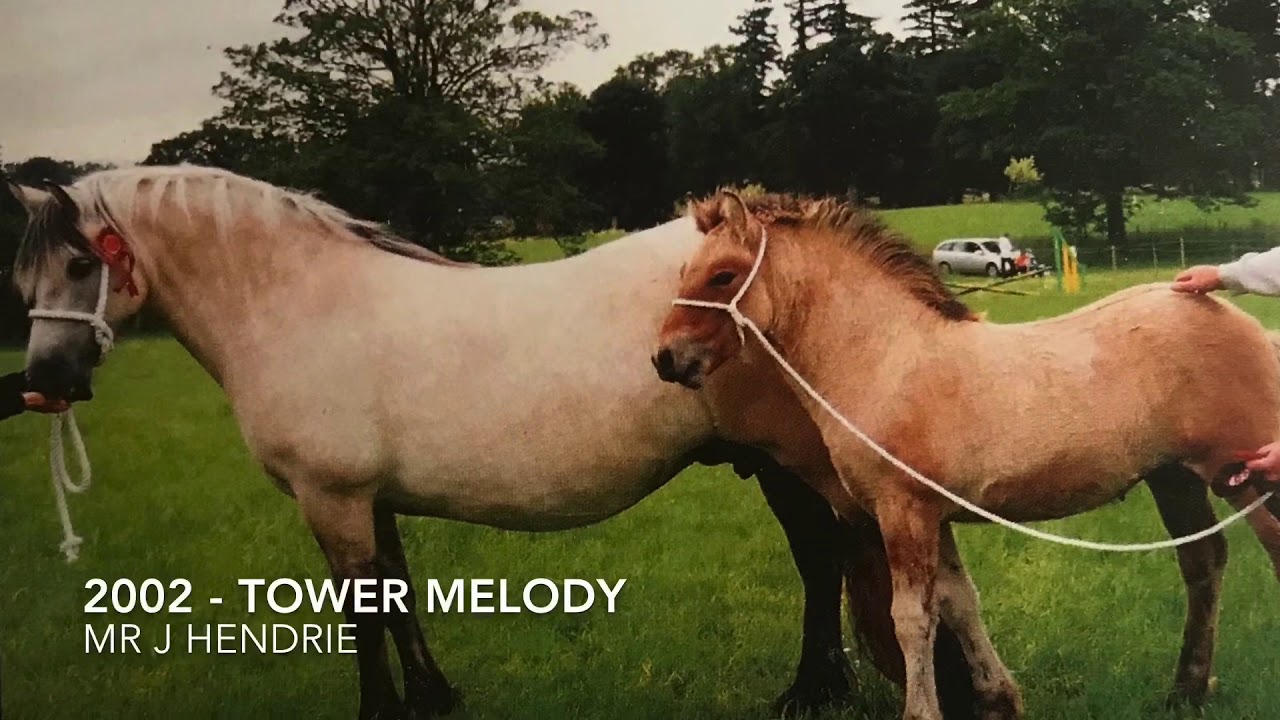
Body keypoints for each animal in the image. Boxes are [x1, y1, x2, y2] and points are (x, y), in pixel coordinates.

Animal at [4, 166, 981, 719]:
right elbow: (396, 593)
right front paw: (434, 699)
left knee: (827, 558)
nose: (46, 382)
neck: (297, 305)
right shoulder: (368, 500)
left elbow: (360, 614)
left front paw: (383, 710)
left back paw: (812, 692)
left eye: (83, 263)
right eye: (23, 276)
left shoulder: (331, 500)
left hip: (791, 462)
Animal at [654, 192, 1280, 720]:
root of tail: (1253, 330)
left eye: (723, 274)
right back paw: (1186, 691)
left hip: (1248, 474)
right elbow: (959, 604)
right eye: (686, 273)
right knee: (1203, 564)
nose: (665, 358)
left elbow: (911, 618)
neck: (886, 359)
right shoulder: (936, 518)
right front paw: (999, 702)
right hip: (1175, 478)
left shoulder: (904, 512)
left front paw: (921, 713)